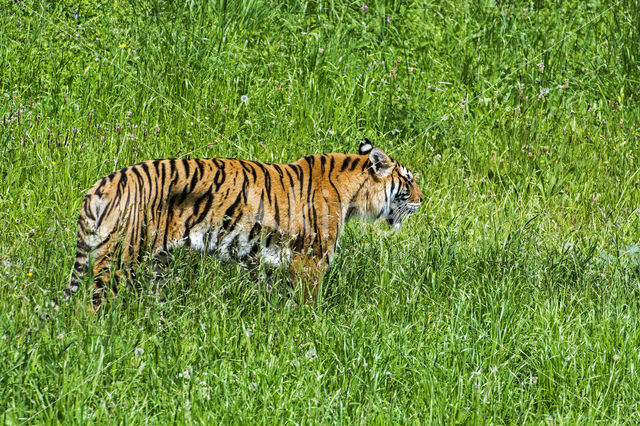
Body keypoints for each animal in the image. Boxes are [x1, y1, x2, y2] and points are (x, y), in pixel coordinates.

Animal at [63, 141, 424, 306]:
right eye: (408, 179)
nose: (423, 198)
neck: (354, 195)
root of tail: (106, 182)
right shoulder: (311, 259)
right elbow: (308, 302)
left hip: (155, 261)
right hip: (121, 256)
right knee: (92, 303)